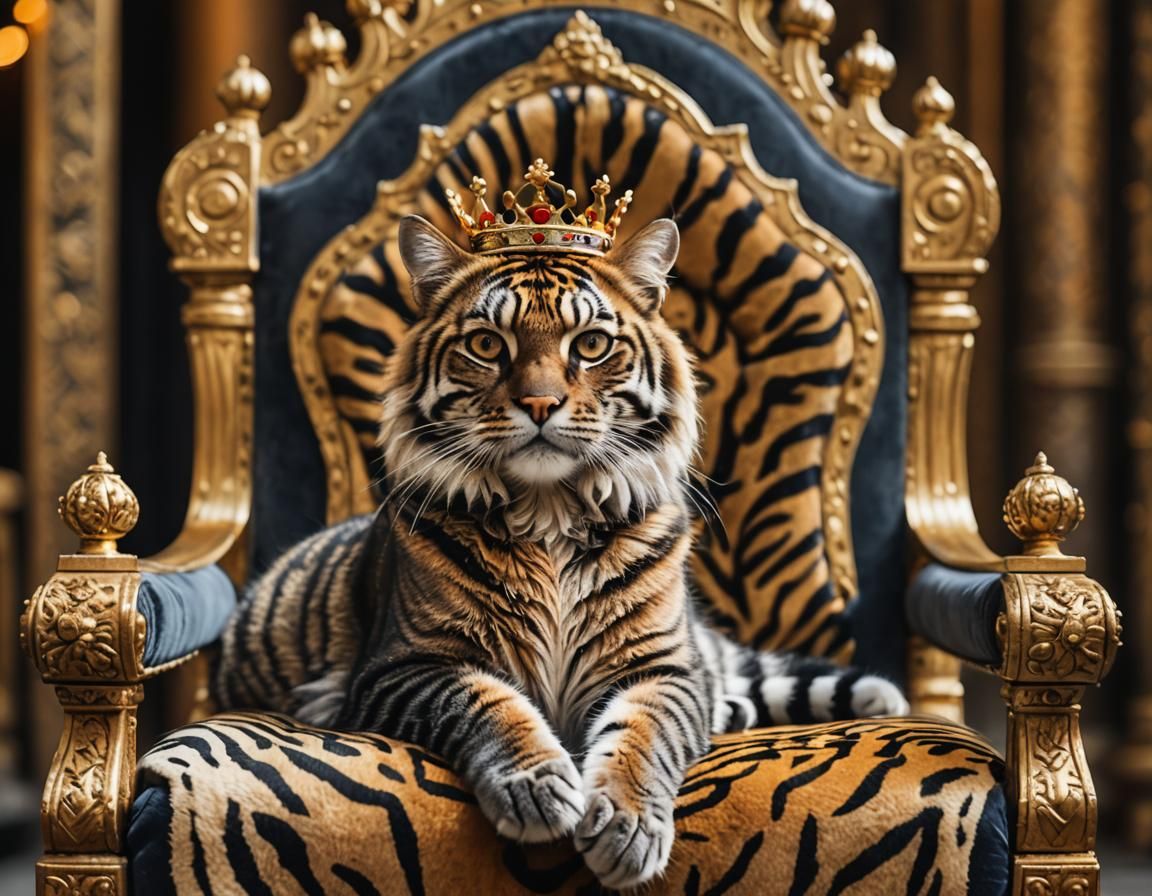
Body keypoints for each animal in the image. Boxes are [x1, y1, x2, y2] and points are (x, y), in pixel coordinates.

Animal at [215, 212, 908, 890]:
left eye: (591, 345)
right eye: (488, 344)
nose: (540, 403)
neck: (549, 511)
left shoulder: (662, 665)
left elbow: (646, 732)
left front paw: (627, 829)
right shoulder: (402, 666)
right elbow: (486, 703)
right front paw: (537, 790)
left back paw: (871, 699)